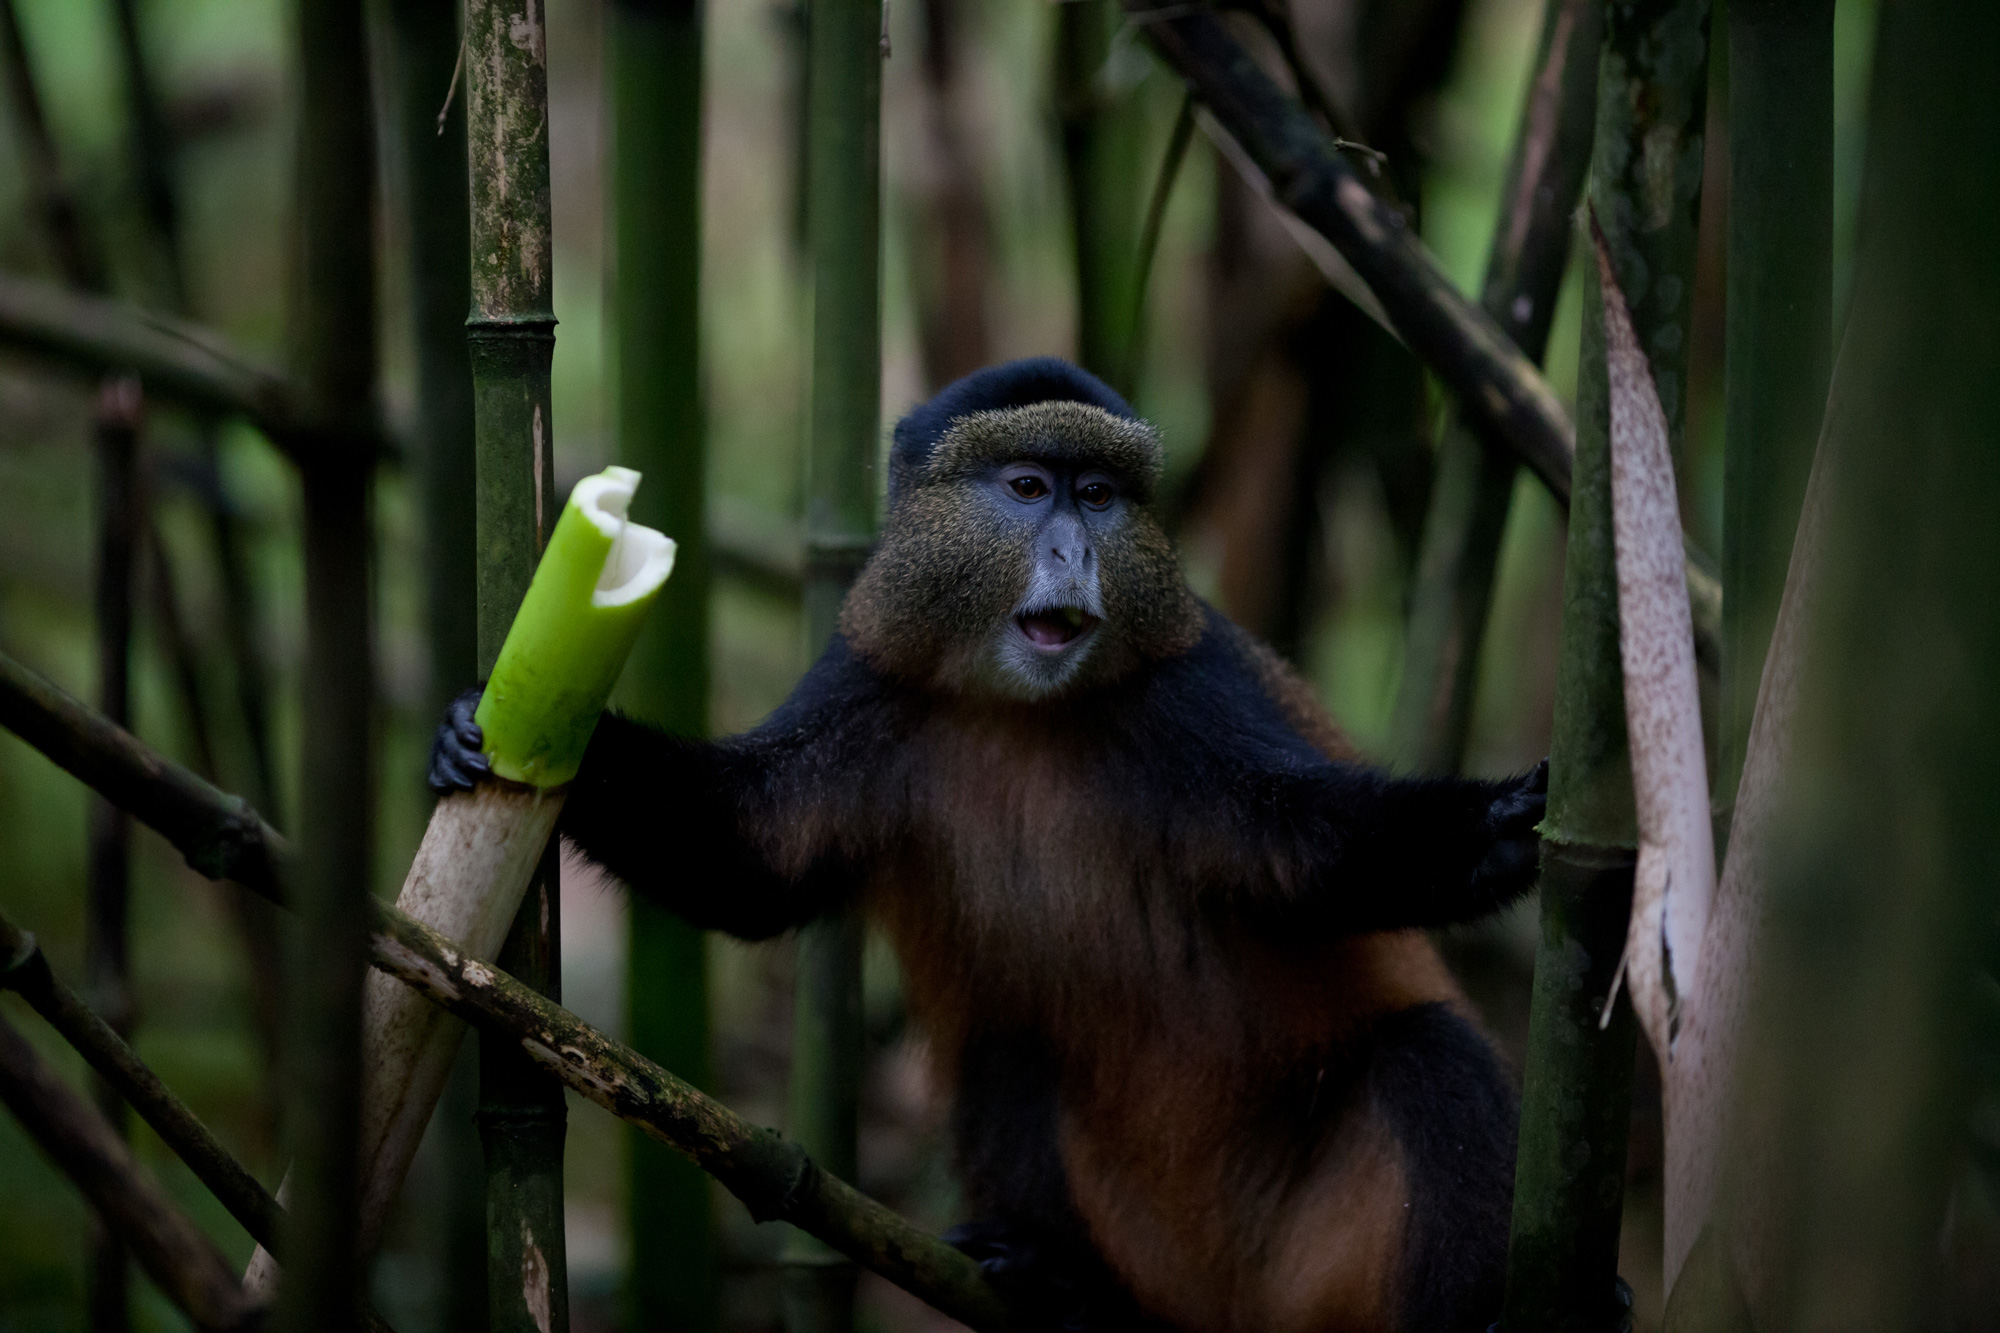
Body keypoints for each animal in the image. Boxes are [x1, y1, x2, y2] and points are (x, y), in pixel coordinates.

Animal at [431, 358, 1546, 1332]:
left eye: (1098, 496)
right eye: (1025, 487)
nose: (1071, 551)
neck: (1023, 714)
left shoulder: (1194, 696)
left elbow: (1306, 848)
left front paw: (1497, 829)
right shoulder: (868, 683)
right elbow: (752, 857)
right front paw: (507, 738)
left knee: (1430, 1059)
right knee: (1014, 1044)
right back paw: (1065, 1286)